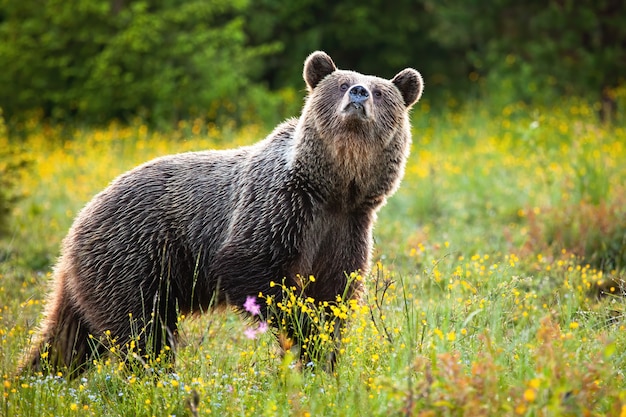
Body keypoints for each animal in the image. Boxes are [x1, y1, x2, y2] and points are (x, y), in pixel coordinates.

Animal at [20, 50, 420, 376]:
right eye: (340, 84)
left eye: (380, 91)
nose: (359, 93)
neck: (333, 188)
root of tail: (81, 216)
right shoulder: (279, 209)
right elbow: (254, 271)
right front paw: (298, 328)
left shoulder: (345, 228)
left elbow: (334, 296)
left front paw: (320, 358)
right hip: (134, 255)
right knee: (142, 328)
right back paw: (158, 378)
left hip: (101, 271)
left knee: (68, 338)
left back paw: (37, 377)